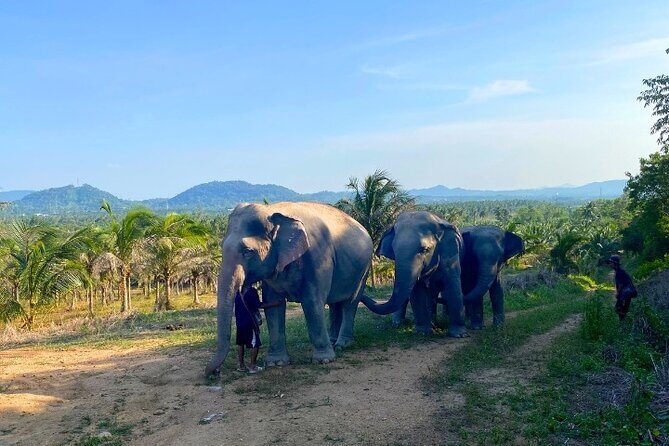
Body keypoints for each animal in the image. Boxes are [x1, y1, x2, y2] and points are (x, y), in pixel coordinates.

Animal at [205, 202, 373, 377]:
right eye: (221, 248)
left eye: (247, 252)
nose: (215, 372)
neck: (272, 210)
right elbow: (273, 305)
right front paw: (276, 363)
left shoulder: (318, 258)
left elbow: (313, 303)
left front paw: (323, 360)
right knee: (335, 304)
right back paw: (333, 341)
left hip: (364, 269)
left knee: (350, 303)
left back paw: (342, 344)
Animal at [390, 225, 524, 330]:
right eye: (475, 257)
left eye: (500, 257)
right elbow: (473, 287)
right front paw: (477, 328)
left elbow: (497, 290)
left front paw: (499, 327)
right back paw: (399, 324)